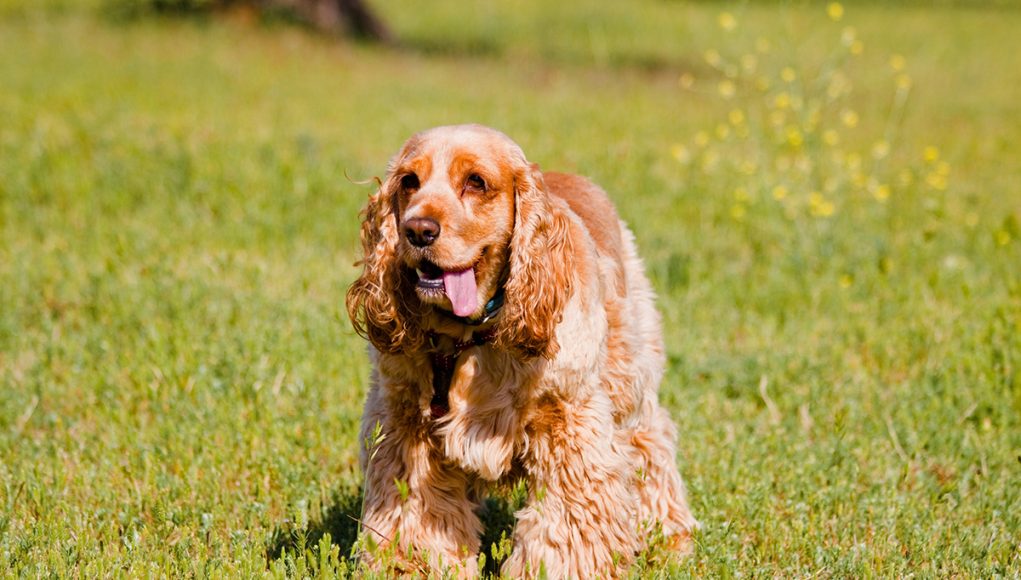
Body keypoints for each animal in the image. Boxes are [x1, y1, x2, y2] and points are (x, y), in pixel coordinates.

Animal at [347, 124, 698, 575]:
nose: (417, 230)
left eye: (476, 182)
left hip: (629, 376)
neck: (470, 334)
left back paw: (670, 539)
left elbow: (564, 526)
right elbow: (416, 519)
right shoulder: (405, 425)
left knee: (651, 443)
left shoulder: (569, 423)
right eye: (409, 181)